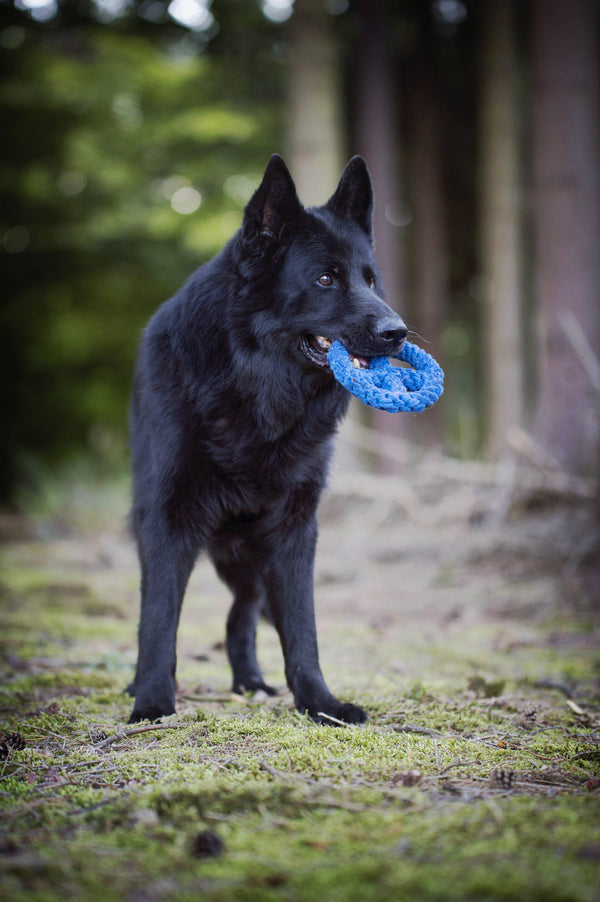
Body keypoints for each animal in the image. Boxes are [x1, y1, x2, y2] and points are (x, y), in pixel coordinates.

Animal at [128, 152, 406, 724]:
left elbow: (302, 626)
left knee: (242, 612)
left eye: (371, 280)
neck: (256, 394)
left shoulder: (293, 531)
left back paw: (250, 681)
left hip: (245, 553)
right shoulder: (167, 520)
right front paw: (151, 706)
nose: (399, 332)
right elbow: (158, 619)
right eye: (325, 278)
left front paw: (320, 703)